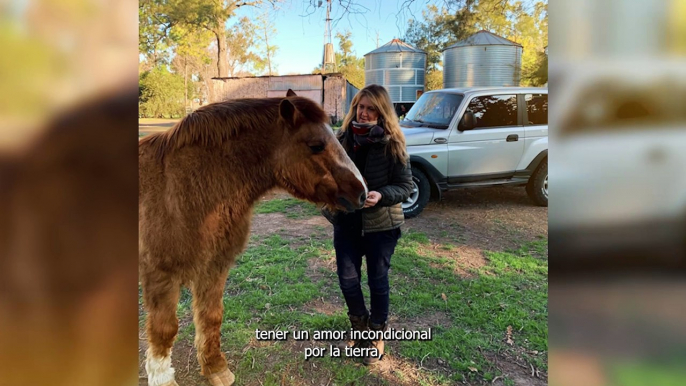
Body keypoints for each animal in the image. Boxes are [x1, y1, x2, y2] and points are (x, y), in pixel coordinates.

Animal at [139, 89, 370, 386]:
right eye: (316, 145)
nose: (363, 193)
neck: (183, 189)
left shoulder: (214, 267)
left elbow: (211, 317)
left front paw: (215, 368)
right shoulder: (160, 274)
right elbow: (164, 328)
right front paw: (162, 377)